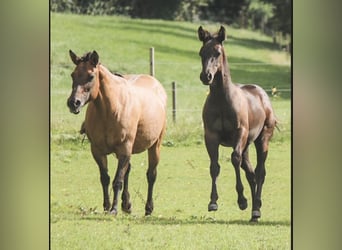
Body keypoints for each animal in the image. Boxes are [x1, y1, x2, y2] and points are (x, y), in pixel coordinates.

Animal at [66, 49, 167, 216]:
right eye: (73, 75)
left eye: (91, 76)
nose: (73, 103)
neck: (110, 109)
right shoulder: (97, 151)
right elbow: (105, 178)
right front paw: (107, 206)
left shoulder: (124, 148)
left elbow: (117, 180)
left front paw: (113, 209)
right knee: (128, 171)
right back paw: (126, 204)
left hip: (155, 146)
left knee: (151, 175)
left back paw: (148, 208)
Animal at [198, 24, 278, 221]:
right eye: (201, 52)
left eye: (218, 52)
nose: (206, 76)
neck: (221, 100)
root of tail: (262, 94)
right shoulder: (210, 136)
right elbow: (214, 166)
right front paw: (213, 202)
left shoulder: (239, 133)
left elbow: (234, 159)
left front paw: (242, 200)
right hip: (247, 145)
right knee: (250, 173)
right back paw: (254, 212)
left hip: (262, 140)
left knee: (260, 171)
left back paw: (256, 208)